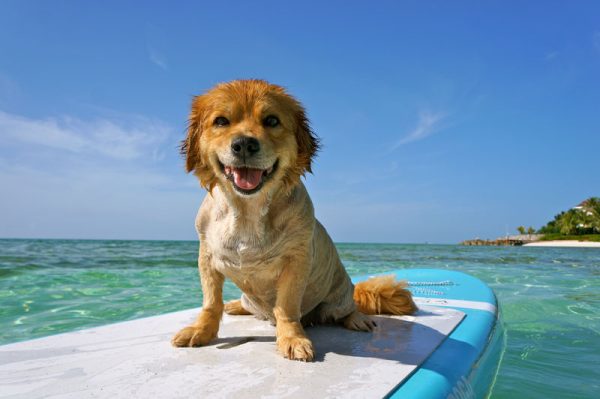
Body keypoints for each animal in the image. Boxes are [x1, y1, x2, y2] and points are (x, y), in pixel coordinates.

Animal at [172, 80, 418, 362]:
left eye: (271, 120)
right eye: (221, 121)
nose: (244, 144)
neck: (247, 212)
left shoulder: (296, 261)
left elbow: (287, 307)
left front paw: (292, 338)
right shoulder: (207, 258)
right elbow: (211, 303)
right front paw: (201, 330)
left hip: (341, 296)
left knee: (347, 309)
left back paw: (356, 318)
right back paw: (235, 305)